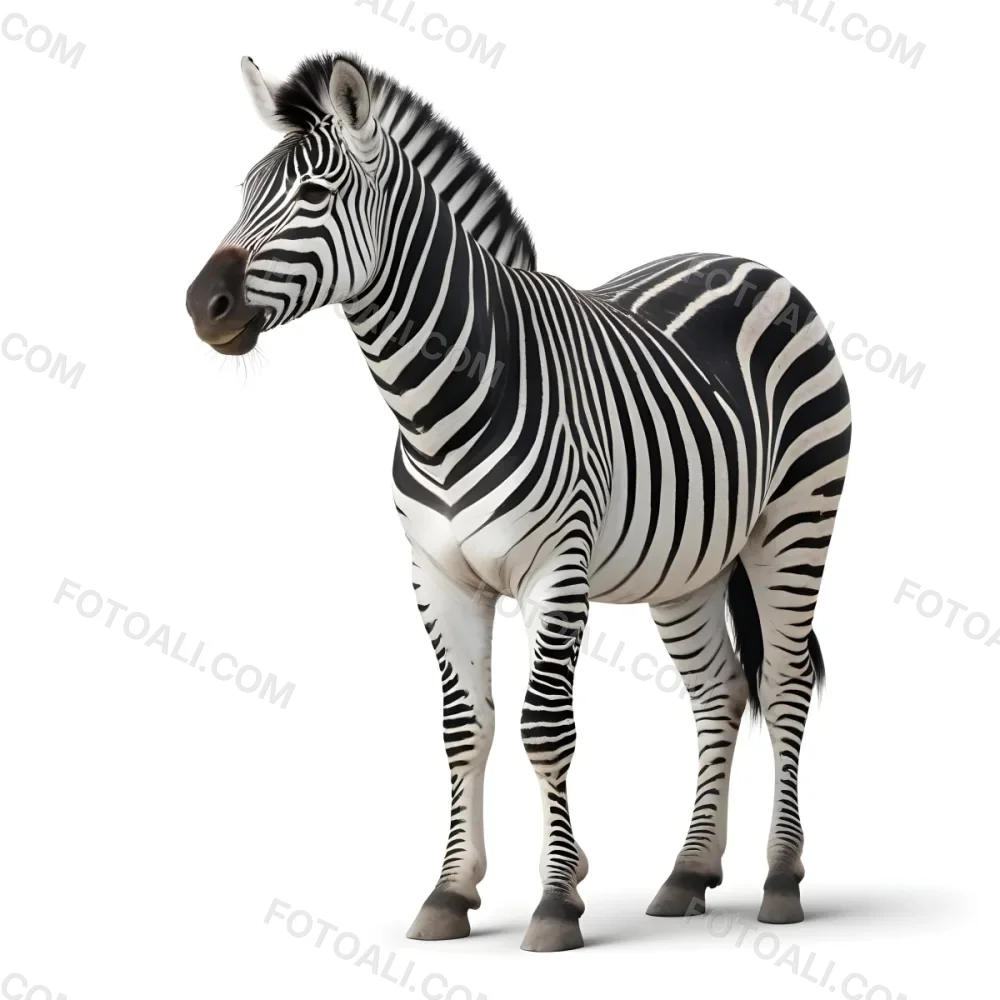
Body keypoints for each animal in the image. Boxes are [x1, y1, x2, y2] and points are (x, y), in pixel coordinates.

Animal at [186, 52, 851, 953]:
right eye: (246, 190)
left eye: (315, 195)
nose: (201, 306)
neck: (436, 405)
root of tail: (750, 263)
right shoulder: (436, 576)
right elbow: (465, 728)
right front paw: (450, 892)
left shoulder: (555, 570)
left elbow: (544, 726)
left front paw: (557, 899)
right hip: (689, 564)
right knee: (720, 691)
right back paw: (688, 873)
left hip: (795, 523)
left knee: (782, 686)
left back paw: (781, 878)